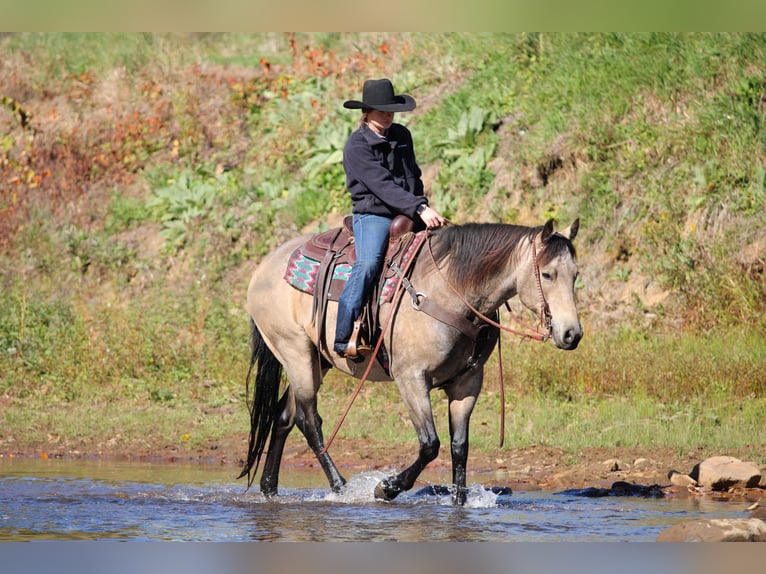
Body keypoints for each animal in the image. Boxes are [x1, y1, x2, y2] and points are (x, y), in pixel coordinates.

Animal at [238, 218, 582, 505]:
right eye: (547, 274)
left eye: (575, 274)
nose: (571, 333)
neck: (451, 291)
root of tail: (264, 267)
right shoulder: (411, 379)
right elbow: (430, 444)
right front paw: (386, 487)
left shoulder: (467, 384)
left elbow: (460, 447)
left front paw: (459, 505)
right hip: (295, 353)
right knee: (308, 420)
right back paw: (341, 488)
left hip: (314, 359)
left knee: (283, 415)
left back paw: (270, 489)